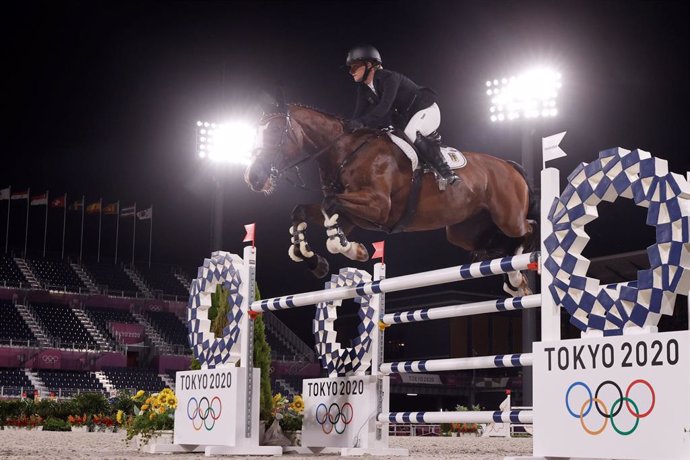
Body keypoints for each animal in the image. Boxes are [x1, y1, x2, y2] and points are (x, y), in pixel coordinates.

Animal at [242, 102, 536, 294]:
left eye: (274, 134)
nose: (253, 178)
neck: (344, 152)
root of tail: (510, 165)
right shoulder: (349, 218)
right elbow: (301, 212)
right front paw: (314, 260)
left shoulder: (378, 206)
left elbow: (330, 207)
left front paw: (352, 250)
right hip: (463, 231)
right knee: (496, 243)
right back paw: (513, 277)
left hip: (508, 216)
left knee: (527, 229)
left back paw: (519, 274)